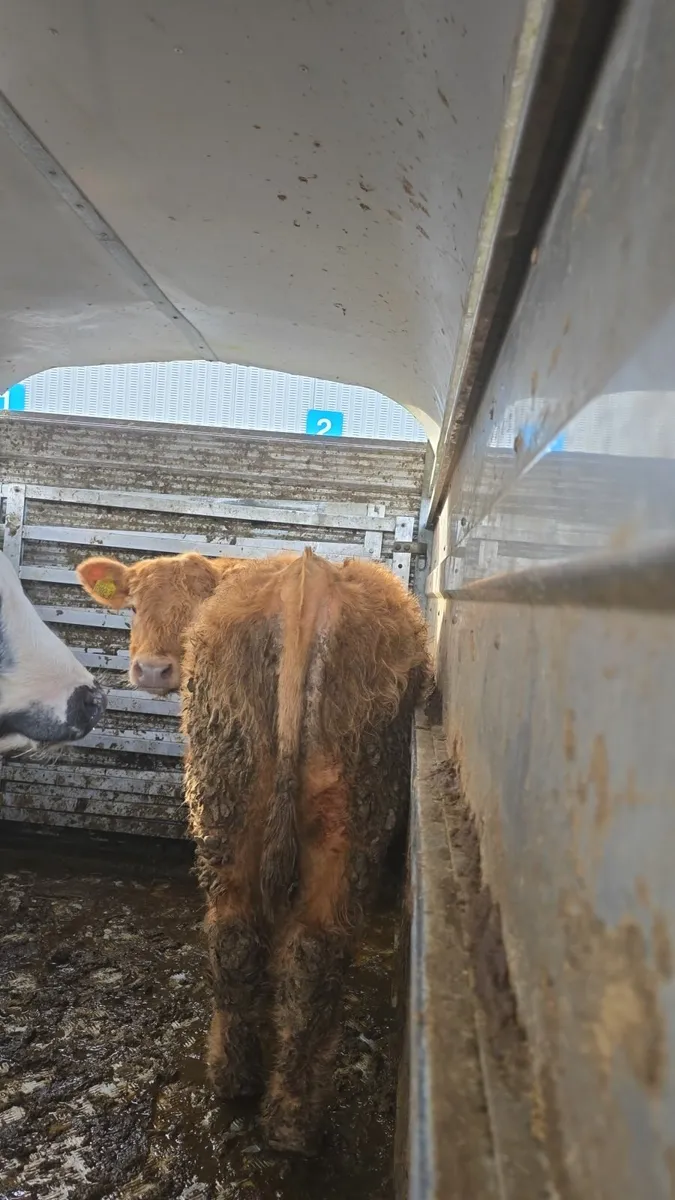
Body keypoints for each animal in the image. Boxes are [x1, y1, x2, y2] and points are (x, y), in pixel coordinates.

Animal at [77, 548, 431, 1155]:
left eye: (184, 608)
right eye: (134, 605)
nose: (152, 669)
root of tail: (307, 574)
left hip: (225, 791)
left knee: (238, 932)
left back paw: (239, 1080)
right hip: (336, 811)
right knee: (301, 948)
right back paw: (285, 1113)